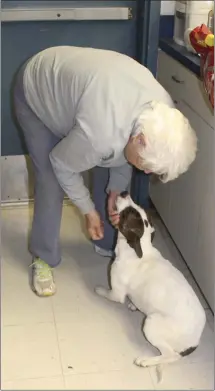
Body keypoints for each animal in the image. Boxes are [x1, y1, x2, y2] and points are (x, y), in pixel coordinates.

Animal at [95, 193, 206, 374]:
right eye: (137, 206)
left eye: (128, 212)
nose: (124, 192)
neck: (138, 249)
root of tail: (195, 341)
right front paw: (133, 305)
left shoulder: (116, 293)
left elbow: (106, 292)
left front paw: (98, 290)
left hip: (151, 323)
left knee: (170, 355)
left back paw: (146, 360)